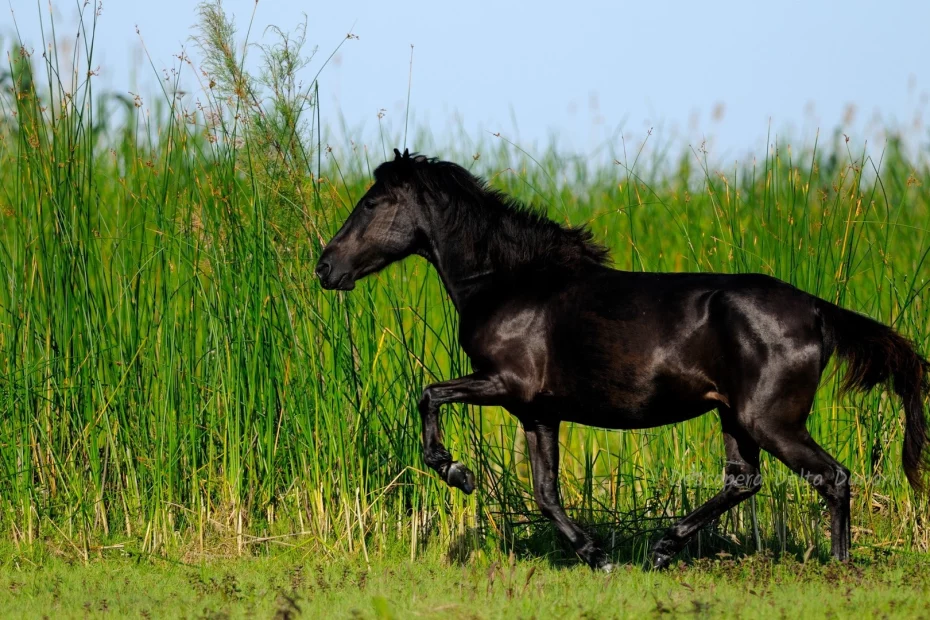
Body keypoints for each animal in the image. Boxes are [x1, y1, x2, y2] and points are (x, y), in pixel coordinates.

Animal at [316, 148, 924, 568]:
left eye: (372, 203)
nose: (325, 268)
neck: (510, 284)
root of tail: (816, 309)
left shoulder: (505, 383)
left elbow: (428, 394)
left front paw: (457, 472)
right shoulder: (537, 411)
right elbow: (545, 494)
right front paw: (597, 556)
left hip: (770, 420)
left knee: (832, 477)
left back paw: (838, 565)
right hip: (734, 417)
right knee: (744, 481)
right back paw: (661, 549)